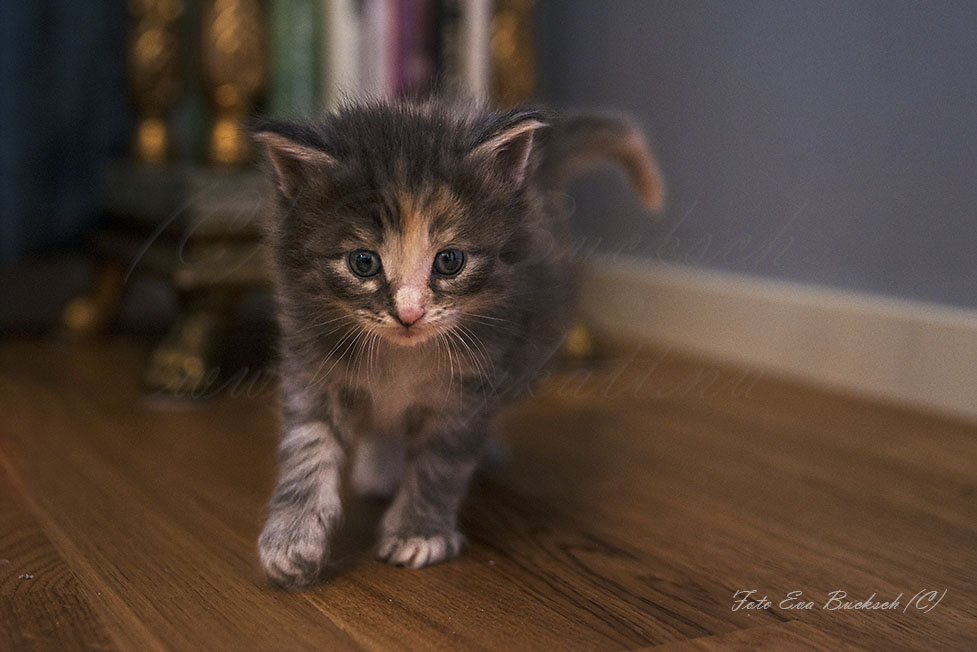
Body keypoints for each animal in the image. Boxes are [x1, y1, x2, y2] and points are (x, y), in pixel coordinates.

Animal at [252, 98, 664, 592]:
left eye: (449, 261)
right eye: (363, 262)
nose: (409, 313)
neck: (401, 356)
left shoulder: (470, 386)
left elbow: (439, 464)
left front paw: (418, 531)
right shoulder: (311, 365)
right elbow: (305, 447)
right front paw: (290, 538)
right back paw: (379, 468)